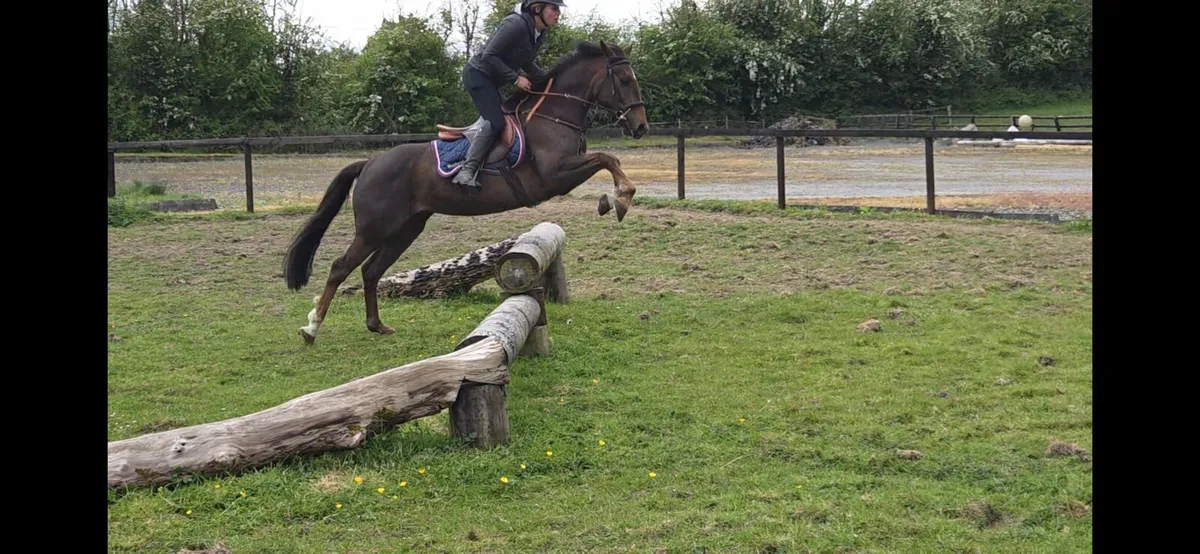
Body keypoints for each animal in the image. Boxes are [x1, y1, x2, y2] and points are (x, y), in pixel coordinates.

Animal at [281, 40, 649, 345]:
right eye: (625, 80)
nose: (640, 126)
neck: (553, 116)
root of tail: (370, 163)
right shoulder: (554, 176)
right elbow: (607, 158)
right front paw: (619, 199)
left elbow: (607, 159)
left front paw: (612, 200)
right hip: (374, 229)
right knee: (340, 268)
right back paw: (312, 328)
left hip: (406, 229)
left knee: (371, 271)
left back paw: (376, 325)